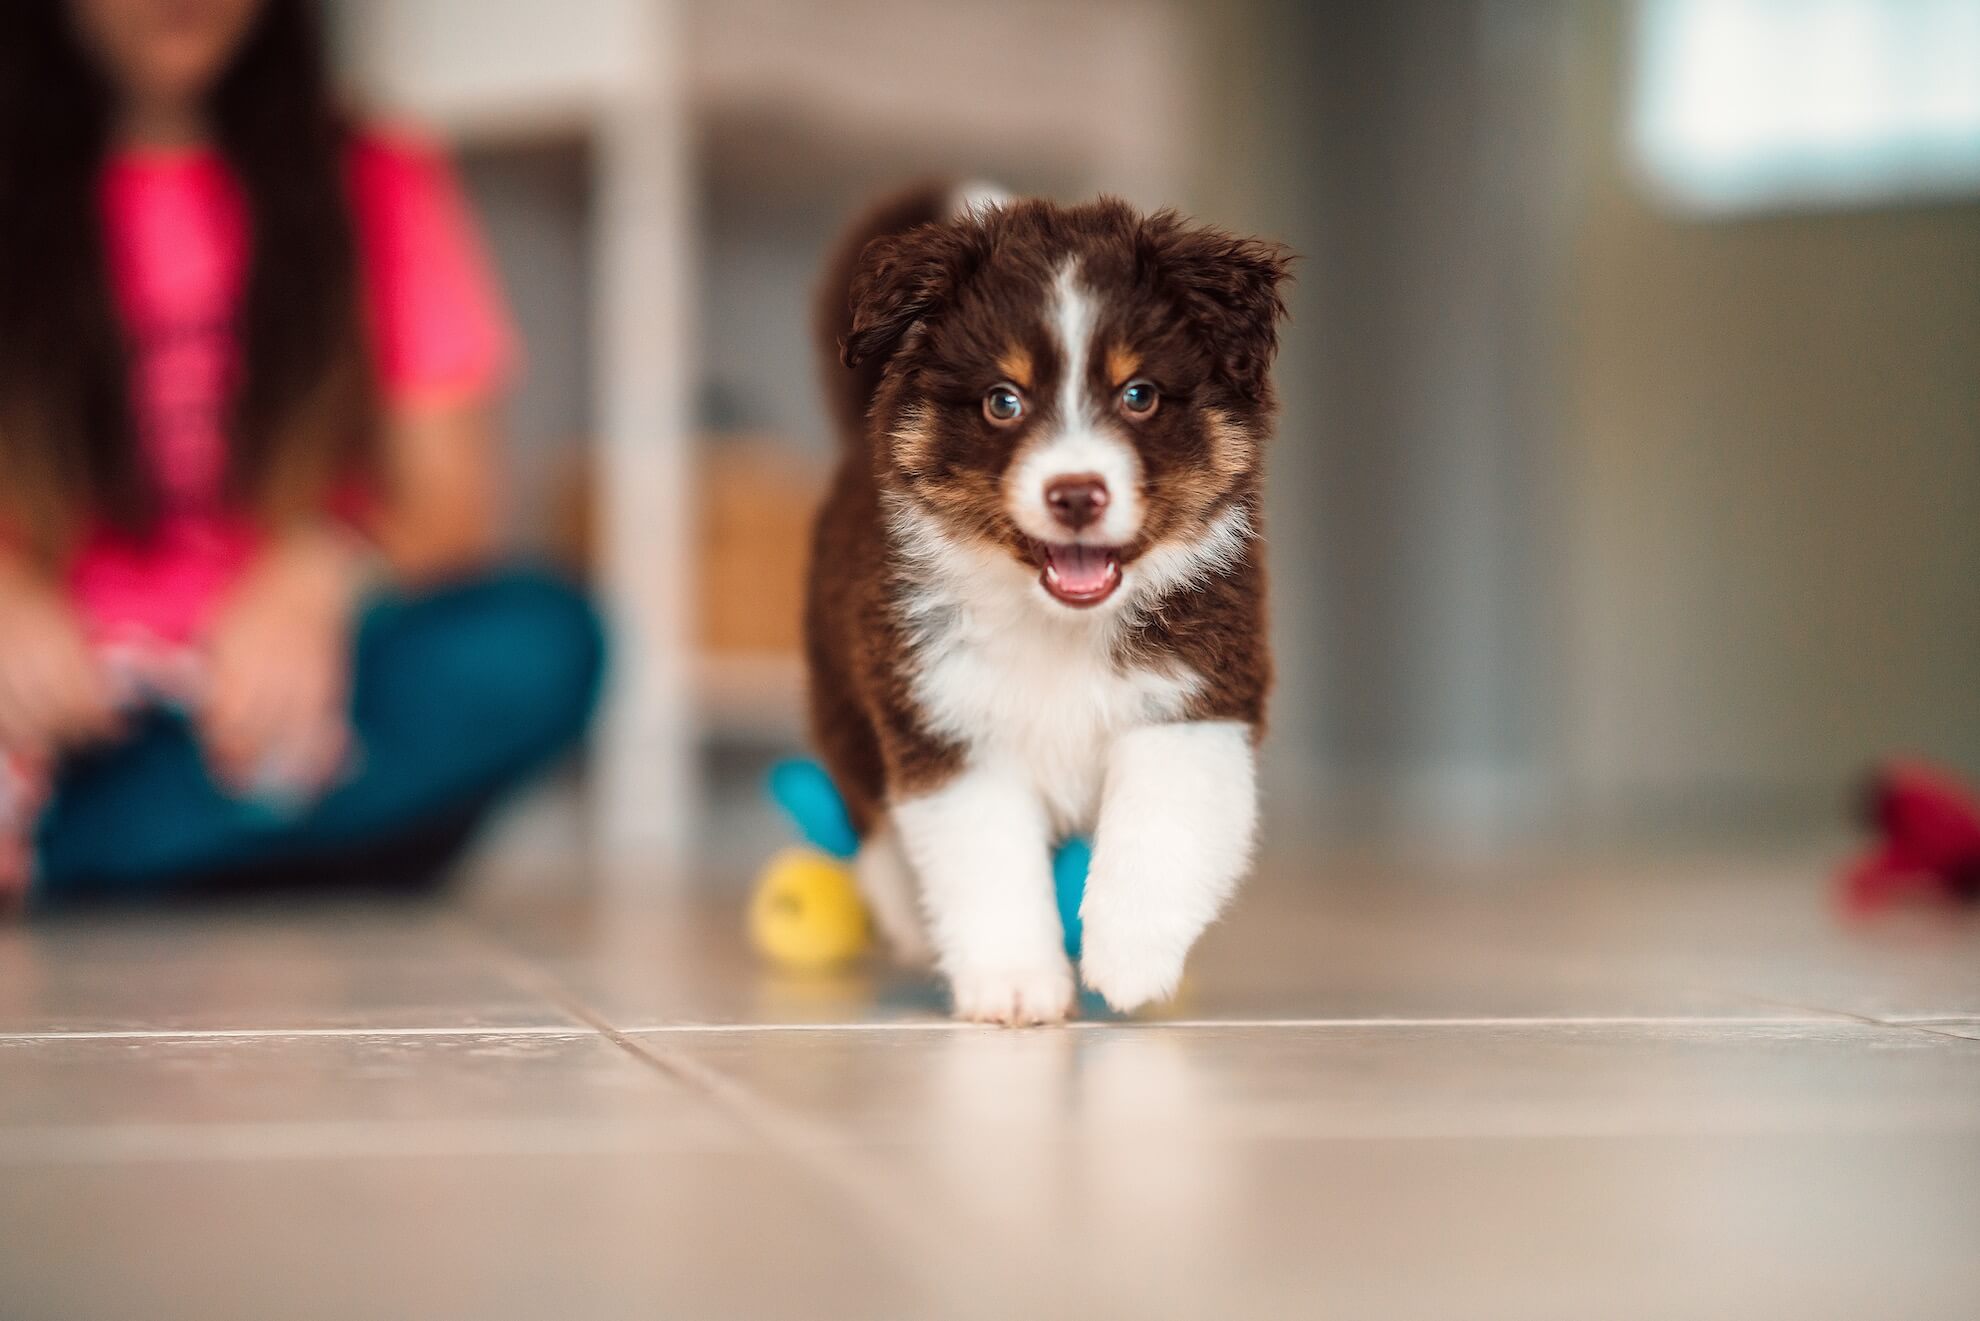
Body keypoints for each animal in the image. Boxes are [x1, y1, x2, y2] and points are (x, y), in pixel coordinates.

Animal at [807, 183, 1290, 1021]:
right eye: (1003, 401)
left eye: (1139, 395)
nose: (1075, 494)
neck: (1062, 625)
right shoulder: (949, 722)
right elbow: (987, 862)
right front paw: (1015, 984)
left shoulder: (1195, 697)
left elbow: (1160, 825)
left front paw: (1130, 957)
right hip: (845, 699)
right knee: (870, 813)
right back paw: (906, 916)